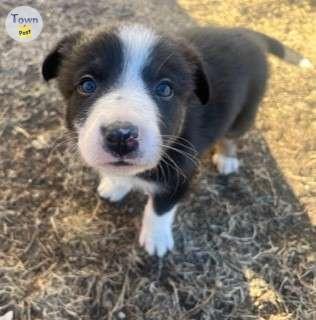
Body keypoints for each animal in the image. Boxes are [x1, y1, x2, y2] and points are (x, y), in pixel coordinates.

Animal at [42, 23, 314, 256]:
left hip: (245, 112)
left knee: (231, 136)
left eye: (165, 89)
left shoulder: (181, 174)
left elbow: (160, 208)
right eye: (87, 85)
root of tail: (248, 34)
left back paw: (226, 158)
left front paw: (156, 239)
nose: (121, 136)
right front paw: (116, 185)